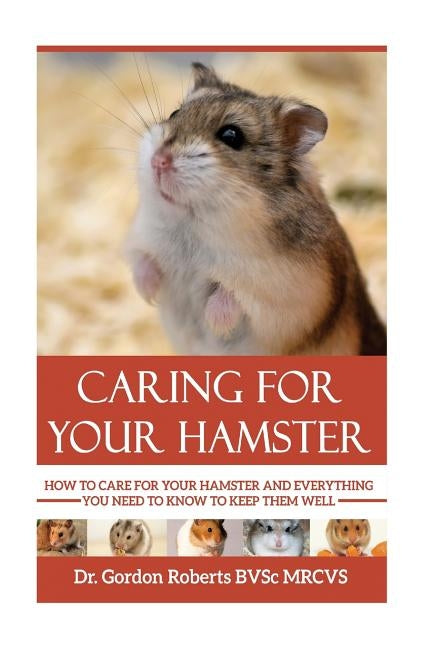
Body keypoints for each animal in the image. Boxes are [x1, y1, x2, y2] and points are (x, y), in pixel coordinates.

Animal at [125, 62, 386, 356]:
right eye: (174, 113)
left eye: (231, 135)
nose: (158, 161)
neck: (192, 225)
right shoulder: (141, 238)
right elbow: (143, 262)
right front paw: (150, 296)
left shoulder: (282, 298)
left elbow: (230, 297)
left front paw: (215, 323)